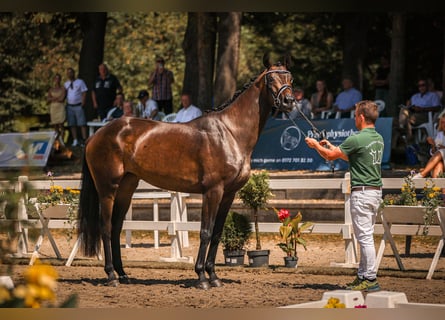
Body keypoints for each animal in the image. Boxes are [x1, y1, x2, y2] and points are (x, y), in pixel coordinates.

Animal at [78, 53, 296, 288]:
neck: (230, 132)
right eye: (271, 79)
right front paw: (201, 277)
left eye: (290, 78)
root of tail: (96, 134)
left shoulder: (228, 194)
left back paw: (123, 274)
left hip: (126, 188)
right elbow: (205, 232)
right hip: (107, 189)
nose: (289, 101)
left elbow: (217, 233)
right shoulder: (213, 191)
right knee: (106, 228)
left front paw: (214, 276)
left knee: (116, 228)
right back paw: (111, 276)